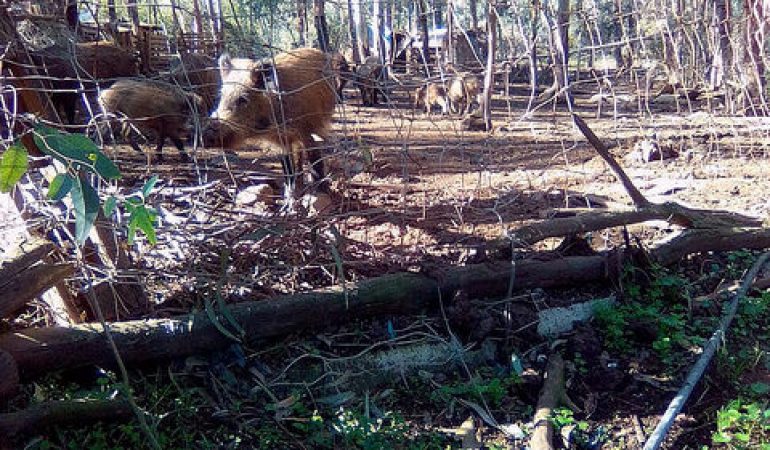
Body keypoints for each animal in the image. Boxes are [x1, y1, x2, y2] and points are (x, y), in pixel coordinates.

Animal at [201, 47, 336, 199]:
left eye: (242, 99)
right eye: (222, 96)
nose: (205, 134)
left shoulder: (305, 129)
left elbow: (315, 158)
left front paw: (321, 193)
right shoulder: (279, 141)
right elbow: (287, 166)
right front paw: (288, 196)